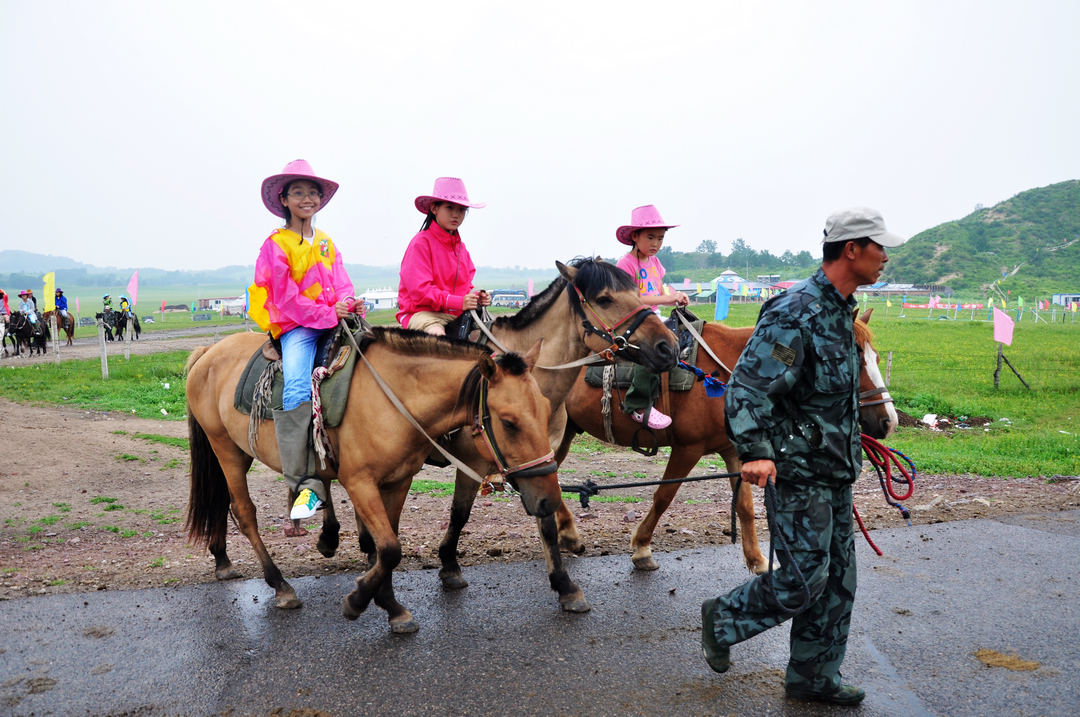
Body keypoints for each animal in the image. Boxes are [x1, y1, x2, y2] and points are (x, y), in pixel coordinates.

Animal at [183, 326, 557, 634]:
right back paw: (280, 585)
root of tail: (209, 351)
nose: (548, 499)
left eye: (546, 409)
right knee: (244, 512)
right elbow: (389, 548)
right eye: (509, 422)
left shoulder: (398, 481)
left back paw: (225, 560)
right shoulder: (360, 484)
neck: (394, 398)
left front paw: (391, 607)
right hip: (226, 449)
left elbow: (385, 547)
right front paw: (359, 600)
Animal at [557, 306, 894, 570]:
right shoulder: (687, 449)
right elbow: (664, 496)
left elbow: (745, 506)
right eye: (852, 359)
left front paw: (758, 561)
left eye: (877, 357)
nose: (888, 421)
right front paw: (641, 547)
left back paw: (567, 535)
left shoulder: (734, 451)